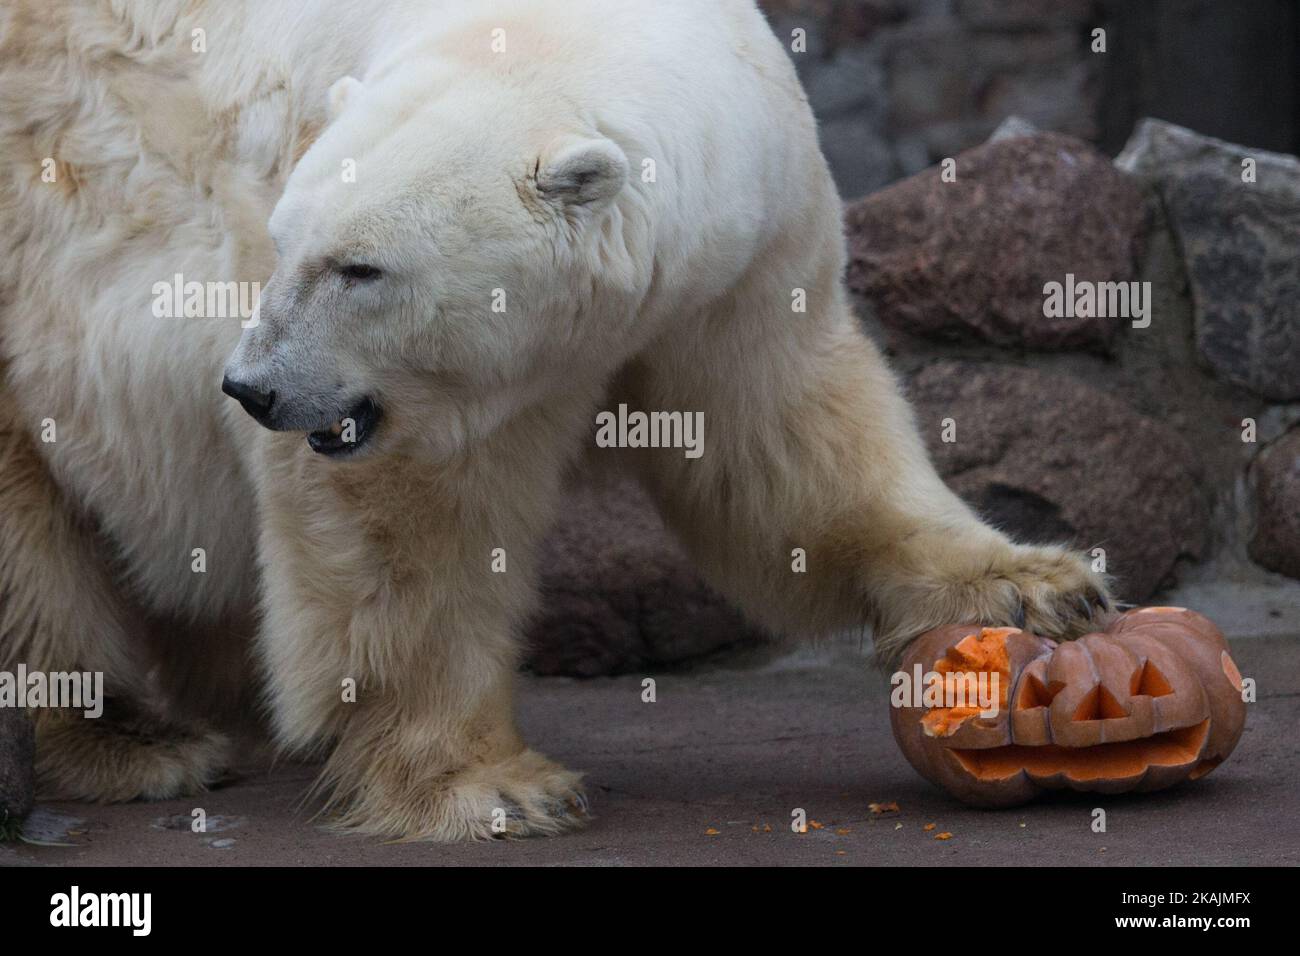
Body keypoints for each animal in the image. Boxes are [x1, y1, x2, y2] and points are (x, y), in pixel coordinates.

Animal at [0, 0, 1110, 840]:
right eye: (283, 242)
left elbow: (786, 445)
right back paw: (129, 744)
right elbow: (405, 532)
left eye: (358, 267)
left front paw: (1038, 586)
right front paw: (493, 785)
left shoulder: (744, 254)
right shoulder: (410, 398)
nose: (253, 389)